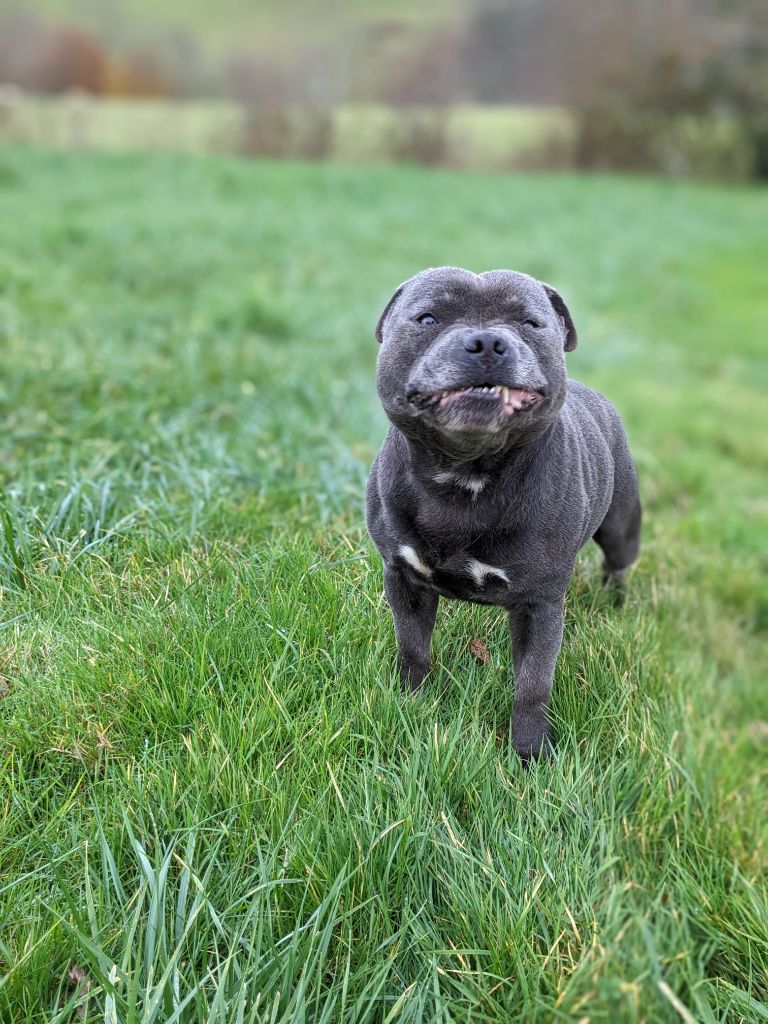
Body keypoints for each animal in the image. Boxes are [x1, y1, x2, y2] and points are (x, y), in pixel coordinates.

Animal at [368, 264, 643, 761]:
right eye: (428, 318)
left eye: (531, 324)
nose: (487, 342)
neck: (466, 474)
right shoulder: (404, 578)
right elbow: (413, 648)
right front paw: (410, 702)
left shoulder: (539, 604)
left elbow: (532, 685)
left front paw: (530, 753)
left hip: (621, 525)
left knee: (618, 563)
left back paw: (616, 602)